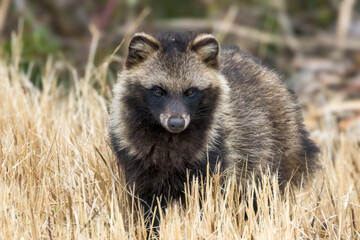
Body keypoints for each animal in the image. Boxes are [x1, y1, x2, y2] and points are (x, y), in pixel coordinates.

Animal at [108, 32, 320, 223]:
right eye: (158, 91)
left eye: (190, 92)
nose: (176, 123)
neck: (169, 138)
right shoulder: (136, 159)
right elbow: (147, 207)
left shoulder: (214, 155)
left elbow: (210, 201)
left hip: (274, 150)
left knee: (260, 194)